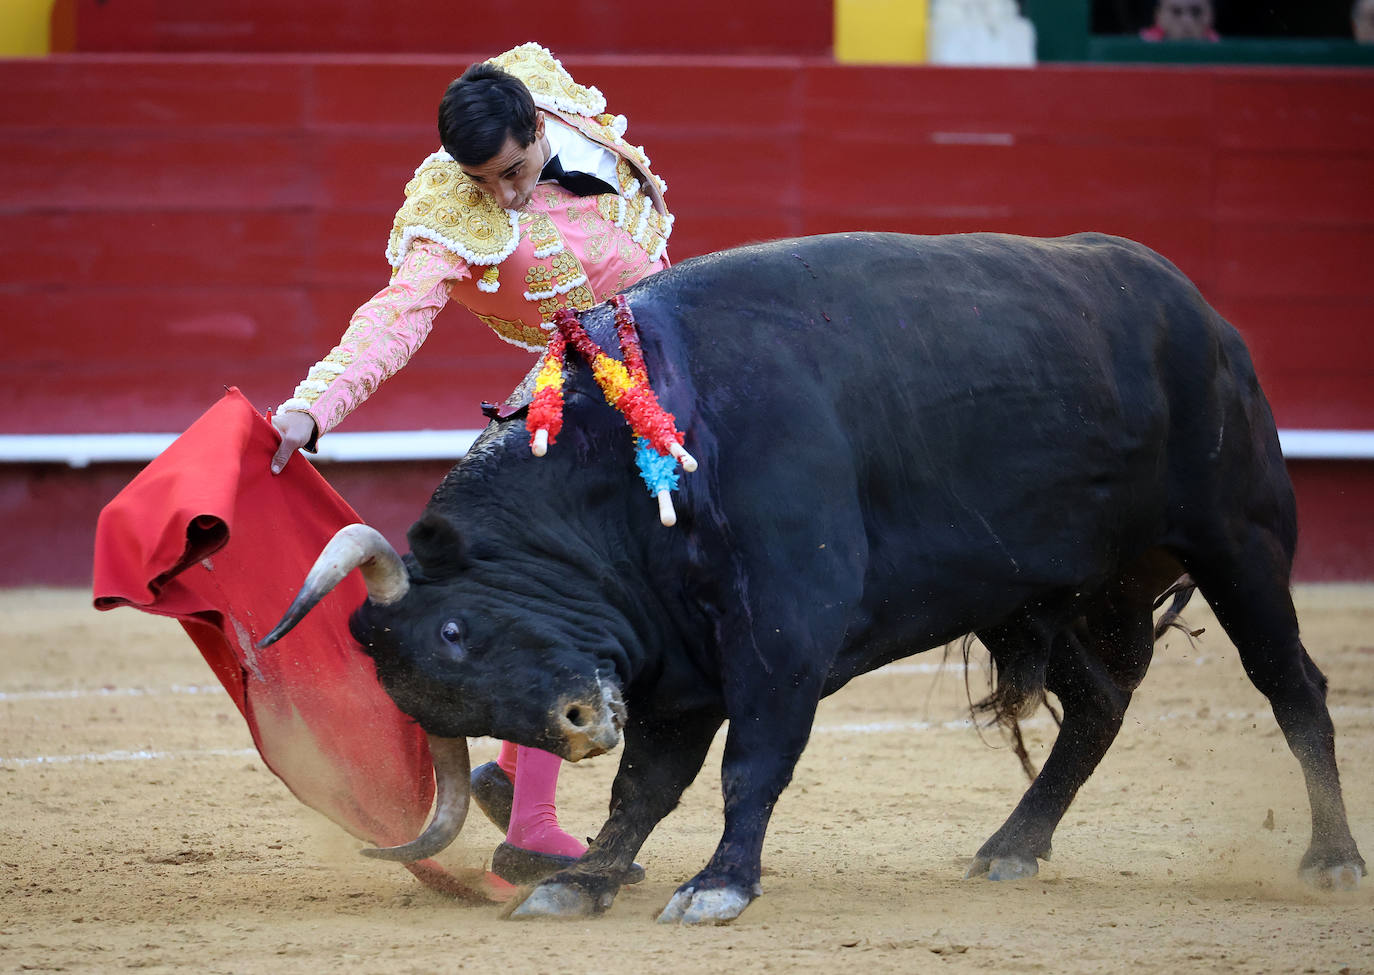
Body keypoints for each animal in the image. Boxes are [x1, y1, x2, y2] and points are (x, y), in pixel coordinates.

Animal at [258, 233, 1363, 928]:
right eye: (425, 698)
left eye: (455, 633)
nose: (574, 723)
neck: (634, 467)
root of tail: (1202, 314)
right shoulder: (678, 667)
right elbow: (645, 783)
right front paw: (587, 882)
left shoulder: (781, 638)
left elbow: (752, 765)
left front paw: (717, 887)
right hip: (1047, 595)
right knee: (1095, 708)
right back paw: (1012, 845)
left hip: (1237, 543)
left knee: (1293, 687)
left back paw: (1333, 860)